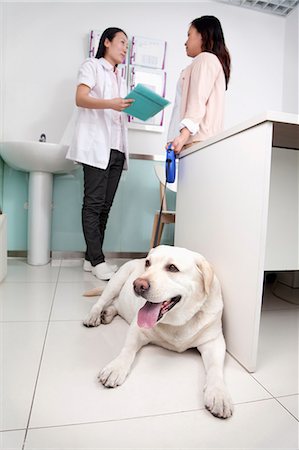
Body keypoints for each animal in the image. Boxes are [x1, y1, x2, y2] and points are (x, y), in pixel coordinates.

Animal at [83, 246, 233, 418]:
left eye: (172, 268)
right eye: (148, 263)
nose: (138, 284)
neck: (179, 322)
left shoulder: (214, 342)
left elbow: (215, 368)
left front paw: (218, 394)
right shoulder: (136, 328)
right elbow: (127, 350)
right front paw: (116, 368)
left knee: (115, 304)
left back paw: (107, 313)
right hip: (116, 281)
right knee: (101, 302)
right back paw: (95, 315)